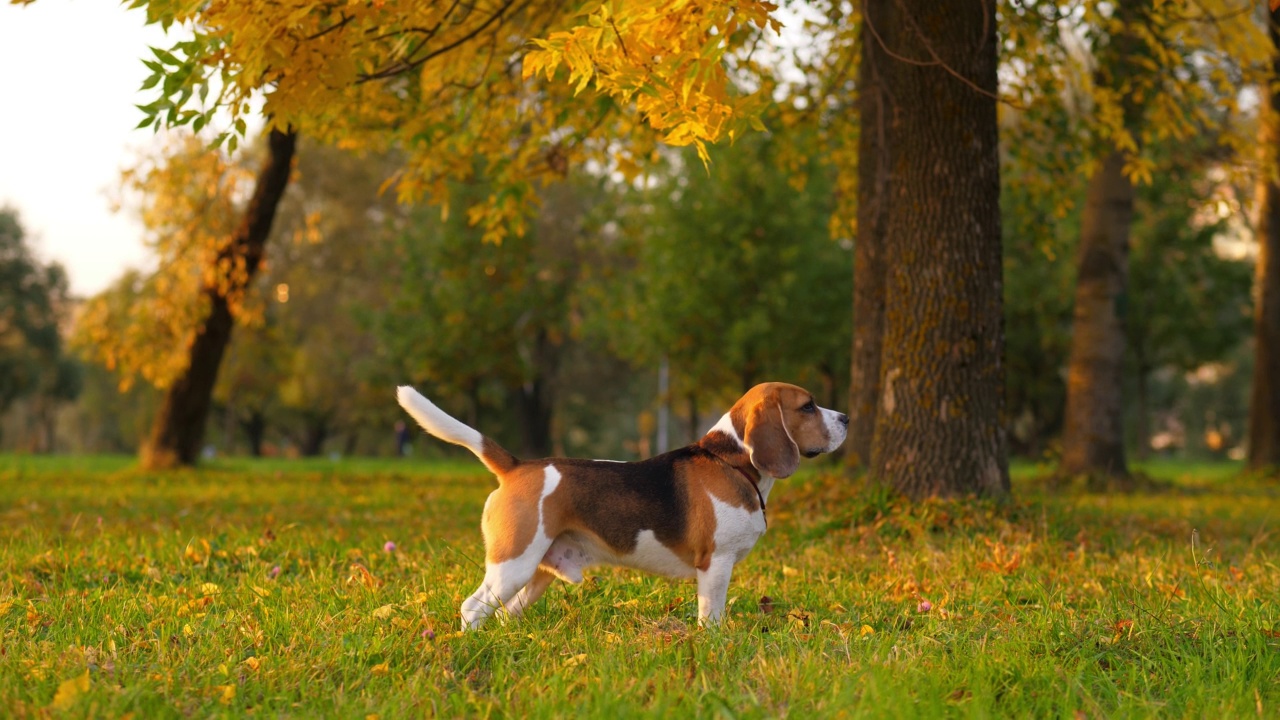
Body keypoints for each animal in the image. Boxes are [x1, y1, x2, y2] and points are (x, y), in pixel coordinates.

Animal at [394, 379, 844, 625]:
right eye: (808, 406)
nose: (847, 419)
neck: (730, 460)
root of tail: (517, 466)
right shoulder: (715, 565)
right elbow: (711, 616)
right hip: (512, 563)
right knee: (472, 608)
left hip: (534, 573)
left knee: (504, 612)